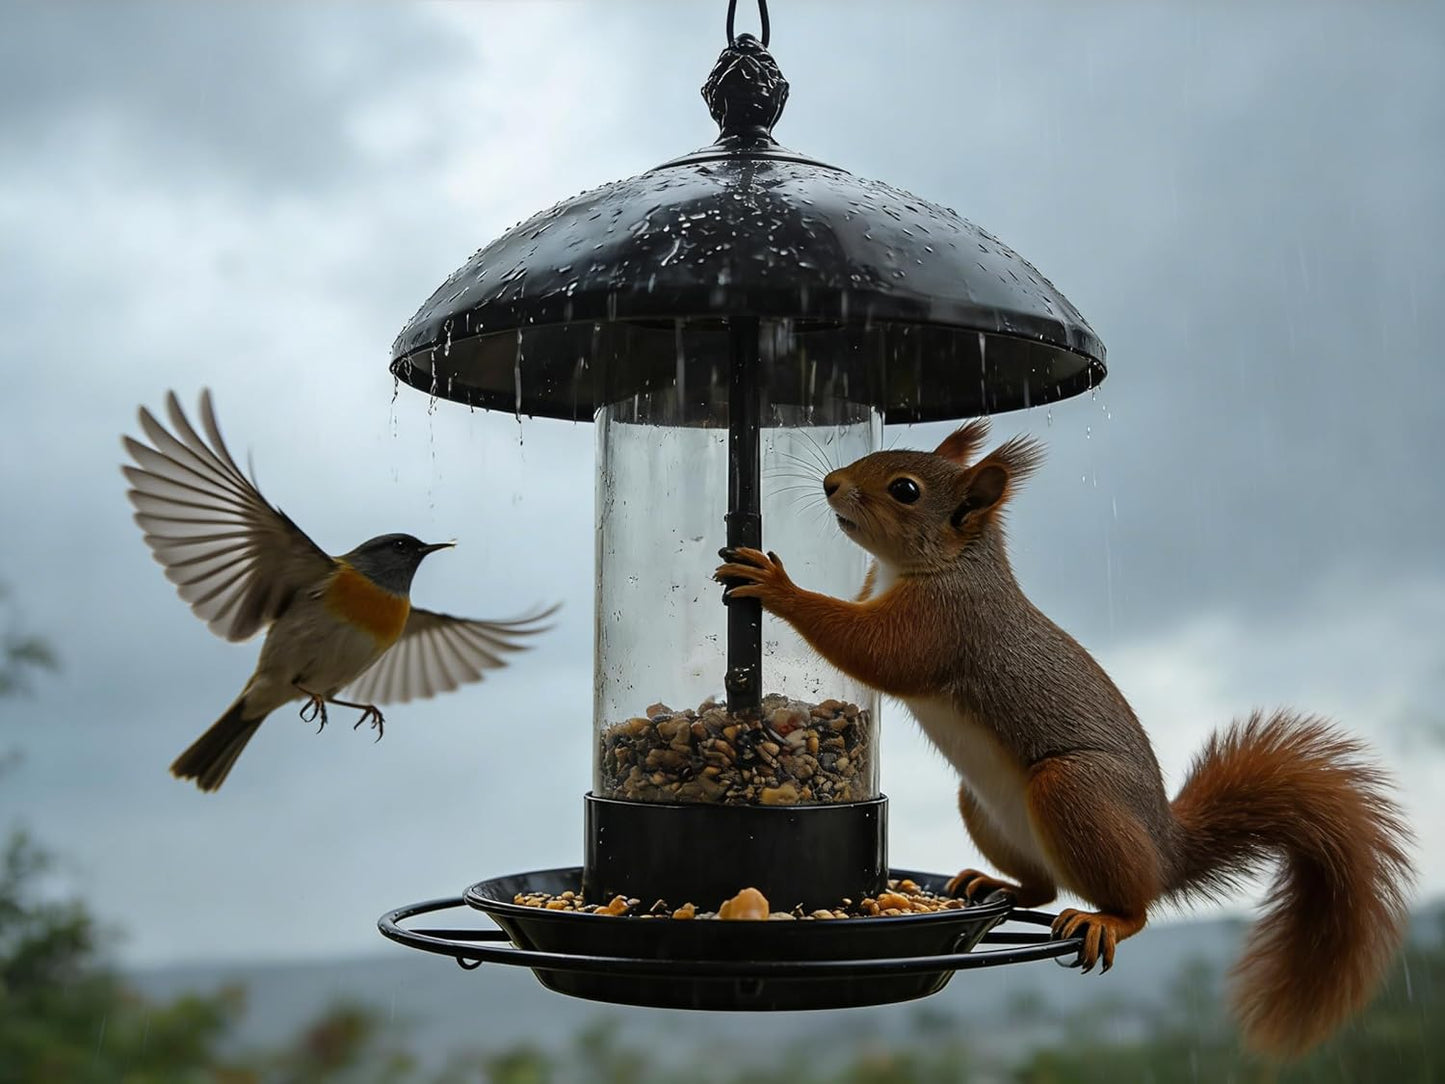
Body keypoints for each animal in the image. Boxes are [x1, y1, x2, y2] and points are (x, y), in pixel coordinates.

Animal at [714, 419, 1415, 1058]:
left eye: (905, 489)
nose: (832, 484)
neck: (947, 564)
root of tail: (1166, 849)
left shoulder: (947, 624)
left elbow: (877, 654)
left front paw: (777, 586)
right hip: (982, 803)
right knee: (1043, 889)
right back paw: (991, 887)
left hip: (1073, 789)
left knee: (1133, 904)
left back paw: (1107, 919)